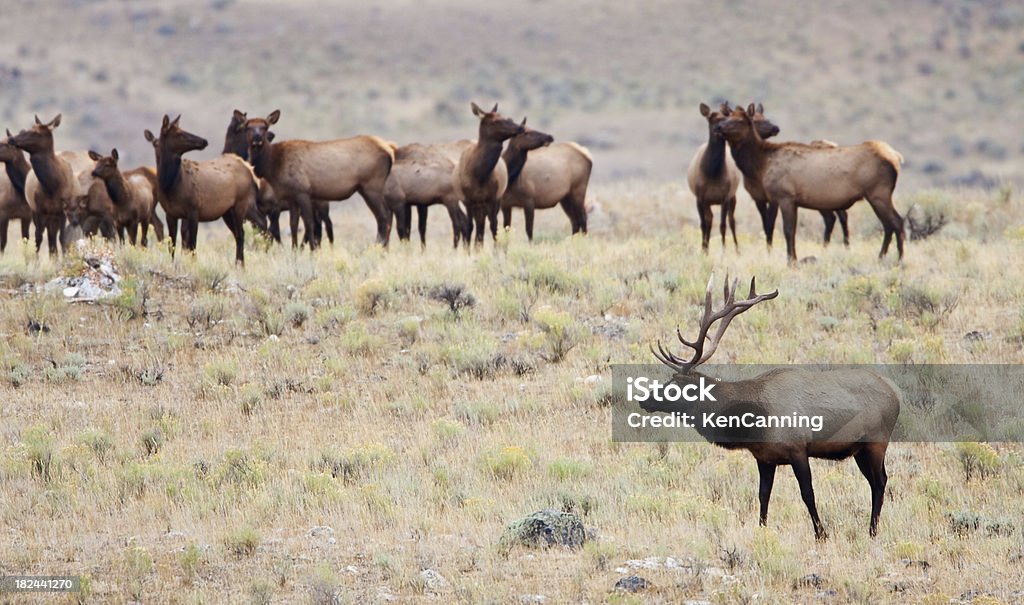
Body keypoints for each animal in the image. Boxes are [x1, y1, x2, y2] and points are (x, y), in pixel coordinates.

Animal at [143, 114, 254, 264]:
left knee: (241, 234)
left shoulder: (194, 210)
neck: (169, 185)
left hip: (240, 204)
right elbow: (172, 245)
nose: (204, 141)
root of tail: (248, 168)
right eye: (179, 133)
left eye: (182, 129)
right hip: (227, 211)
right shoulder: (170, 213)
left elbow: (192, 245)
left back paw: (240, 265)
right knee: (237, 234)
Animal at [239, 110, 395, 248]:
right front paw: (294, 250)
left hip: (371, 186)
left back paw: (378, 248)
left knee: (383, 218)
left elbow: (309, 225)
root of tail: (389, 151)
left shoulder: (302, 192)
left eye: (265, 127)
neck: (273, 165)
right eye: (248, 127)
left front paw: (312, 251)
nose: (257, 139)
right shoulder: (291, 197)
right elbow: (293, 225)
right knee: (386, 217)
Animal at [454, 102, 524, 247]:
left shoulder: (493, 198)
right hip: (477, 206)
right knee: (478, 227)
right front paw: (467, 250)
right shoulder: (467, 200)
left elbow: (494, 227)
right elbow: (469, 226)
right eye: (496, 120)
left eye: (505, 116)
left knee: (483, 227)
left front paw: (496, 250)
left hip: (491, 204)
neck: (479, 174)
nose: (521, 127)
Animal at [643, 274, 901, 540]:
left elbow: (808, 494)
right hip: (860, 449)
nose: (645, 399)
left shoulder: (798, 449)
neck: (754, 424)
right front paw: (762, 530)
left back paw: (872, 531)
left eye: (674, 385)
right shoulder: (764, 457)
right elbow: (763, 495)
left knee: (880, 481)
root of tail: (896, 391)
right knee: (876, 481)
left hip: (876, 442)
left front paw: (821, 534)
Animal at [712, 105, 905, 262]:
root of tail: (896, 157)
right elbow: (788, 231)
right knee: (889, 224)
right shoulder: (783, 200)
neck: (762, 164)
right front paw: (793, 258)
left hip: (878, 193)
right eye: (727, 117)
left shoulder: (785, 196)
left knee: (896, 222)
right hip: (876, 195)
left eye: (739, 120)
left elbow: (788, 231)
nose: (718, 127)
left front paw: (791, 261)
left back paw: (899, 259)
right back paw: (883, 257)